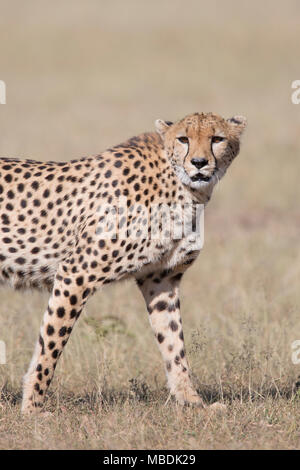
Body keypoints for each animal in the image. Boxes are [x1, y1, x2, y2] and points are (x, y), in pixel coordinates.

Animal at [0, 112, 245, 414]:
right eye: (183, 139)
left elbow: (173, 342)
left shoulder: (161, 280)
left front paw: (191, 401)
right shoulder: (76, 273)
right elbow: (52, 341)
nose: (199, 163)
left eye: (217, 138)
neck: (181, 187)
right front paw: (32, 407)